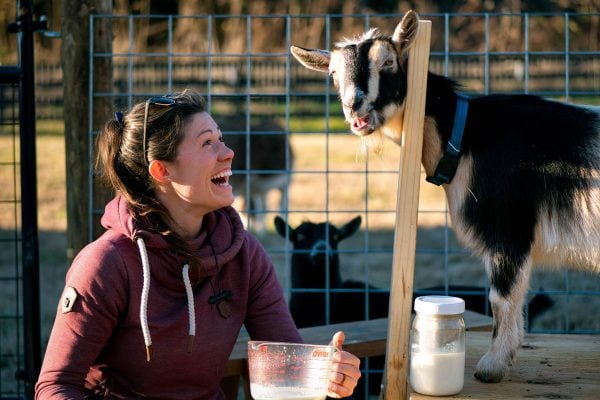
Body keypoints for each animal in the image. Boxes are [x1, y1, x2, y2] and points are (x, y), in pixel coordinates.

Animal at [288, 9, 596, 382]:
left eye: (388, 62)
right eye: (333, 75)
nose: (353, 107)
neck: (467, 137)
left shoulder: (508, 226)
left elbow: (501, 297)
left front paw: (492, 366)